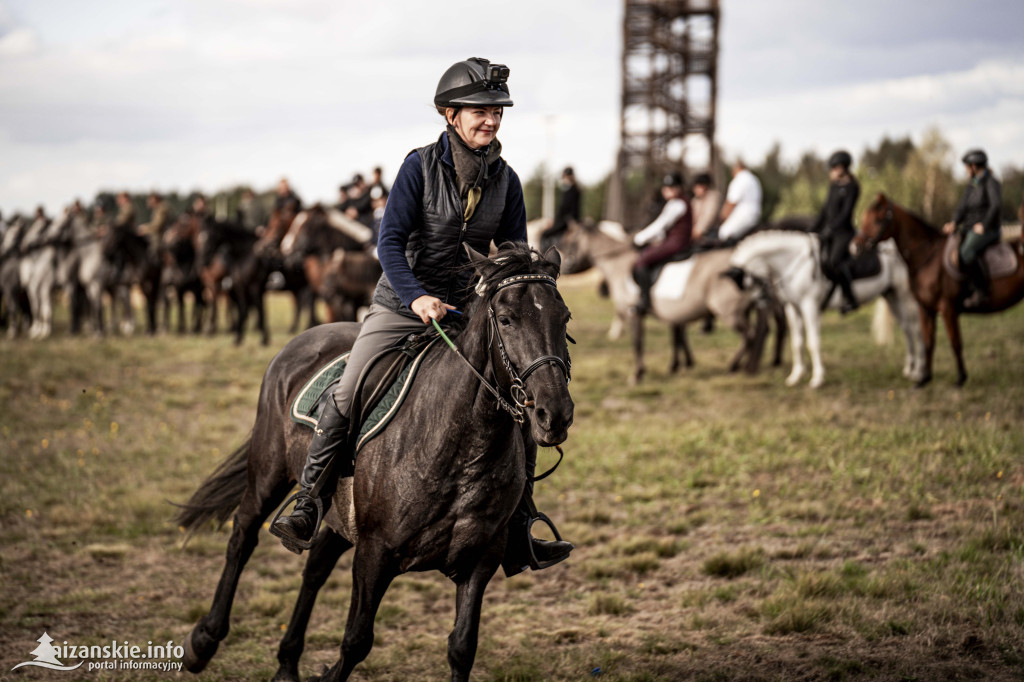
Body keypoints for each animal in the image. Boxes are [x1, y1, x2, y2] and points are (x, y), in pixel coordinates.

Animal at [176, 241, 577, 675]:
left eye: (564, 317)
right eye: (505, 319)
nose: (554, 414)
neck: (459, 450)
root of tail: (305, 338)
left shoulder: (479, 561)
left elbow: (461, 648)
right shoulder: (375, 554)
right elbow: (355, 642)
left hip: (336, 511)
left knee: (315, 566)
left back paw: (287, 663)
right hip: (268, 473)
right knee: (243, 538)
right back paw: (204, 641)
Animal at [561, 222, 770, 385]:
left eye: (571, 242)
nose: (566, 267)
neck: (620, 263)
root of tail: (746, 265)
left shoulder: (633, 313)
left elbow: (638, 343)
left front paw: (638, 374)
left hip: (729, 312)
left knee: (749, 336)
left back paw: (735, 366)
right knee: (755, 335)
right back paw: (746, 366)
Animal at [724, 228, 925, 387]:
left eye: (745, 281)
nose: (761, 300)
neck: (793, 262)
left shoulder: (809, 306)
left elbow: (813, 342)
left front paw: (817, 379)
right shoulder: (793, 308)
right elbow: (797, 342)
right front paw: (796, 376)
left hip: (906, 297)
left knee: (916, 329)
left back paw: (918, 371)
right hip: (892, 296)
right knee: (907, 330)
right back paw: (909, 368)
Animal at [851, 193, 1024, 385]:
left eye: (878, 219)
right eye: (864, 218)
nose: (855, 247)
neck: (927, 257)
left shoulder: (947, 309)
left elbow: (955, 342)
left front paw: (960, 378)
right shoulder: (925, 309)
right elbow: (928, 341)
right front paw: (924, 378)